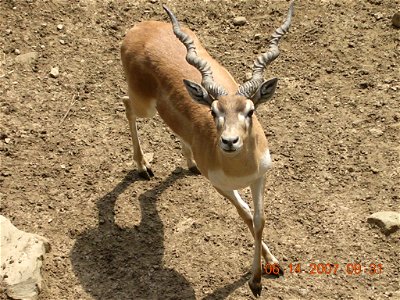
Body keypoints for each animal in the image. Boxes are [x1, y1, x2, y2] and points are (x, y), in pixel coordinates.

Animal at [120, 1, 292, 298]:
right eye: (214, 111)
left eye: (250, 110)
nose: (229, 141)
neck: (239, 170)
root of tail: (137, 29)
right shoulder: (220, 186)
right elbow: (246, 215)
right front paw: (255, 282)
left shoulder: (260, 177)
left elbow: (259, 219)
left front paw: (271, 265)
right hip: (144, 105)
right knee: (127, 104)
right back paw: (143, 167)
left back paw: (189, 162)